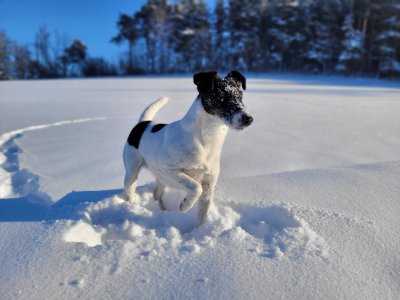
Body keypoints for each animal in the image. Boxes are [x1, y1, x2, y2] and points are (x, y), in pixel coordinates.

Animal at [122, 70, 253, 224]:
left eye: (241, 96)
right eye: (222, 97)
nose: (249, 119)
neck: (206, 141)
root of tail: (143, 123)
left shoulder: (209, 185)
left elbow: (203, 214)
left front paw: (200, 230)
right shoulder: (168, 168)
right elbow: (196, 187)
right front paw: (185, 205)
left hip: (161, 178)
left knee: (157, 194)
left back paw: (163, 211)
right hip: (132, 172)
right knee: (131, 191)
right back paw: (133, 206)